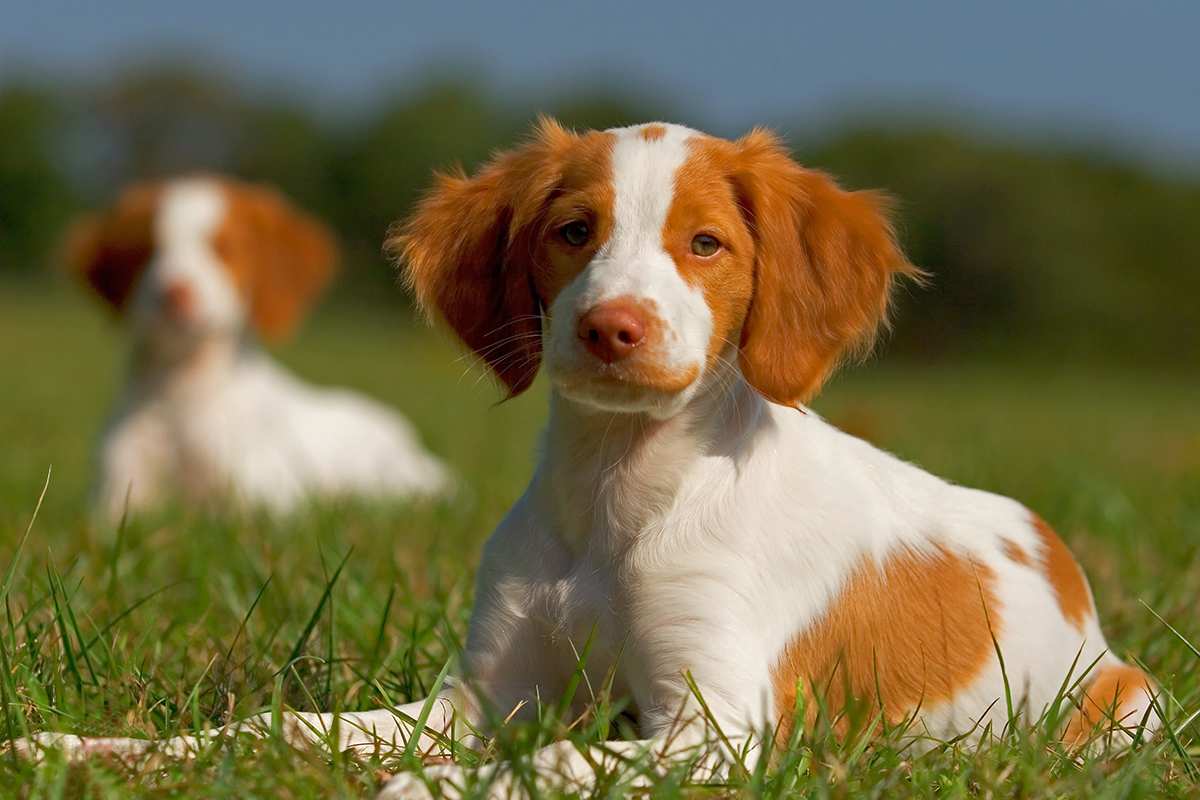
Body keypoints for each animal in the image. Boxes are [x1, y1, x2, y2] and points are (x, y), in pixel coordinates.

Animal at [68, 176, 451, 520]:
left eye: (223, 249)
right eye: (145, 250)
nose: (173, 294)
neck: (181, 391)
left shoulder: (259, 498)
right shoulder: (117, 490)